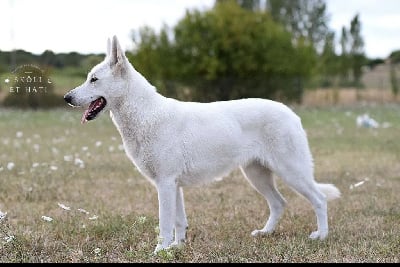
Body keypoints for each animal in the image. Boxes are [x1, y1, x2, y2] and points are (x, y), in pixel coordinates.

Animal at [63, 36, 340, 254]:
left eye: (94, 80)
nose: (66, 97)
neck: (144, 113)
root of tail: (292, 114)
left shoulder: (165, 184)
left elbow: (165, 222)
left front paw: (160, 251)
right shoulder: (173, 185)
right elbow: (179, 221)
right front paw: (176, 247)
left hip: (291, 172)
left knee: (319, 199)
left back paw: (321, 236)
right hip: (256, 175)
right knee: (279, 203)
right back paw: (265, 233)